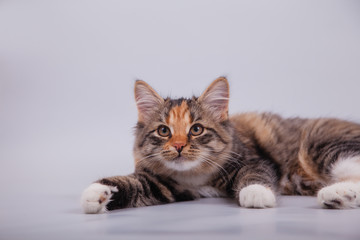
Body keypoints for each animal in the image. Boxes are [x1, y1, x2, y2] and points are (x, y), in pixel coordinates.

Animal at [80, 77, 360, 214]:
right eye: (163, 131)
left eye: (196, 130)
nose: (179, 146)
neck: (195, 175)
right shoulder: (163, 185)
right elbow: (129, 183)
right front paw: (96, 193)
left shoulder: (253, 159)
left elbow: (254, 175)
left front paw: (256, 194)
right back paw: (336, 196)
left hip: (321, 146)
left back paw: (332, 193)